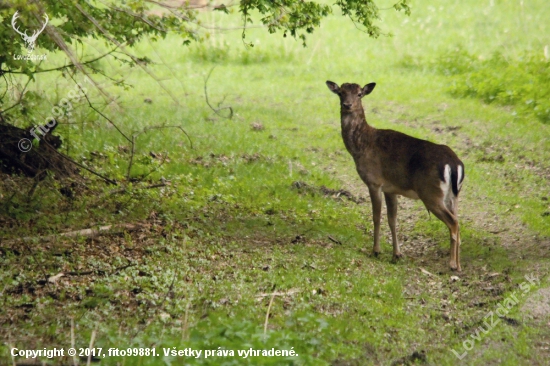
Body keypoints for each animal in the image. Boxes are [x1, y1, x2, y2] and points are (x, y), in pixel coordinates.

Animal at [328, 82, 466, 272]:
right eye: (341, 93)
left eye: (359, 94)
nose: (347, 105)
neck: (361, 146)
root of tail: (454, 164)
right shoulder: (391, 189)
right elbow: (392, 219)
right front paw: (396, 255)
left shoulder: (374, 181)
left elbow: (376, 216)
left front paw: (376, 251)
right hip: (453, 196)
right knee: (458, 222)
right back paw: (458, 265)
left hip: (431, 193)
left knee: (453, 223)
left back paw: (452, 265)